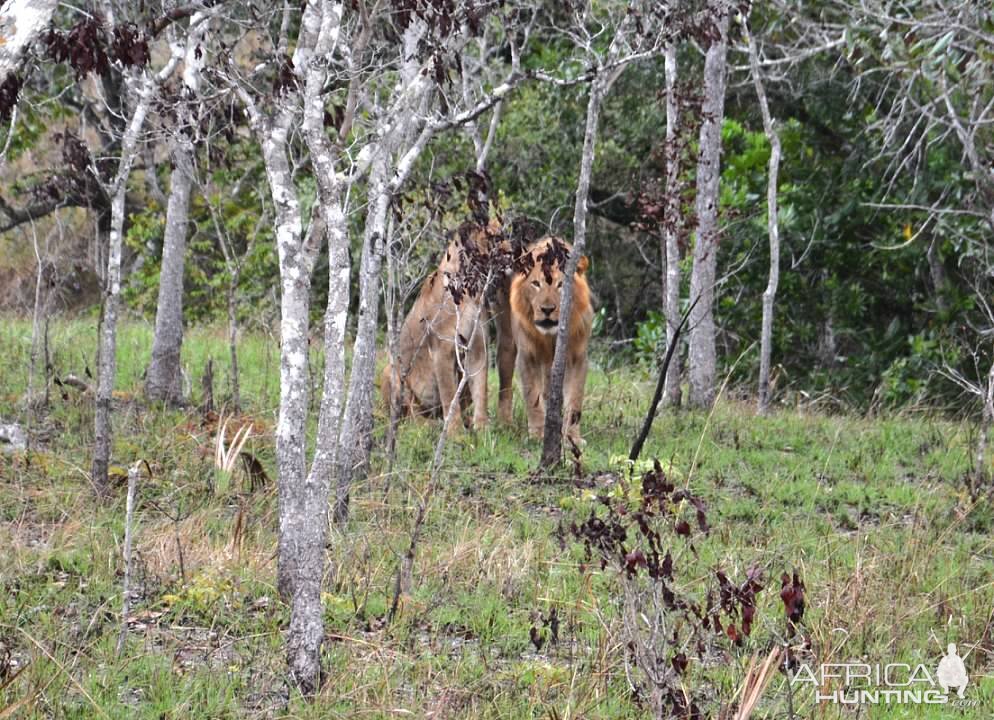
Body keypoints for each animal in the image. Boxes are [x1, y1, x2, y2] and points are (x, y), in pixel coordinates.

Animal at [384, 222, 500, 434]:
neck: (471, 291)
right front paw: (455, 433)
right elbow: (448, 394)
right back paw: (430, 425)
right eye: (495, 239)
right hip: (392, 371)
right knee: (410, 417)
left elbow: (481, 389)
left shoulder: (478, 348)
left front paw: (483, 428)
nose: (514, 250)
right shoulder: (441, 350)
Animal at [500, 236, 592, 444]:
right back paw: (506, 424)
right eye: (536, 284)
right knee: (505, 386)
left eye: (561, 285)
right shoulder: (528, 356)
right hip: (507, 345)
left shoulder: (577, 357)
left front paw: (572, 437)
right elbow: (532, 397)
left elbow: (575, 400)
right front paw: (537, 434)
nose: (547, 310)